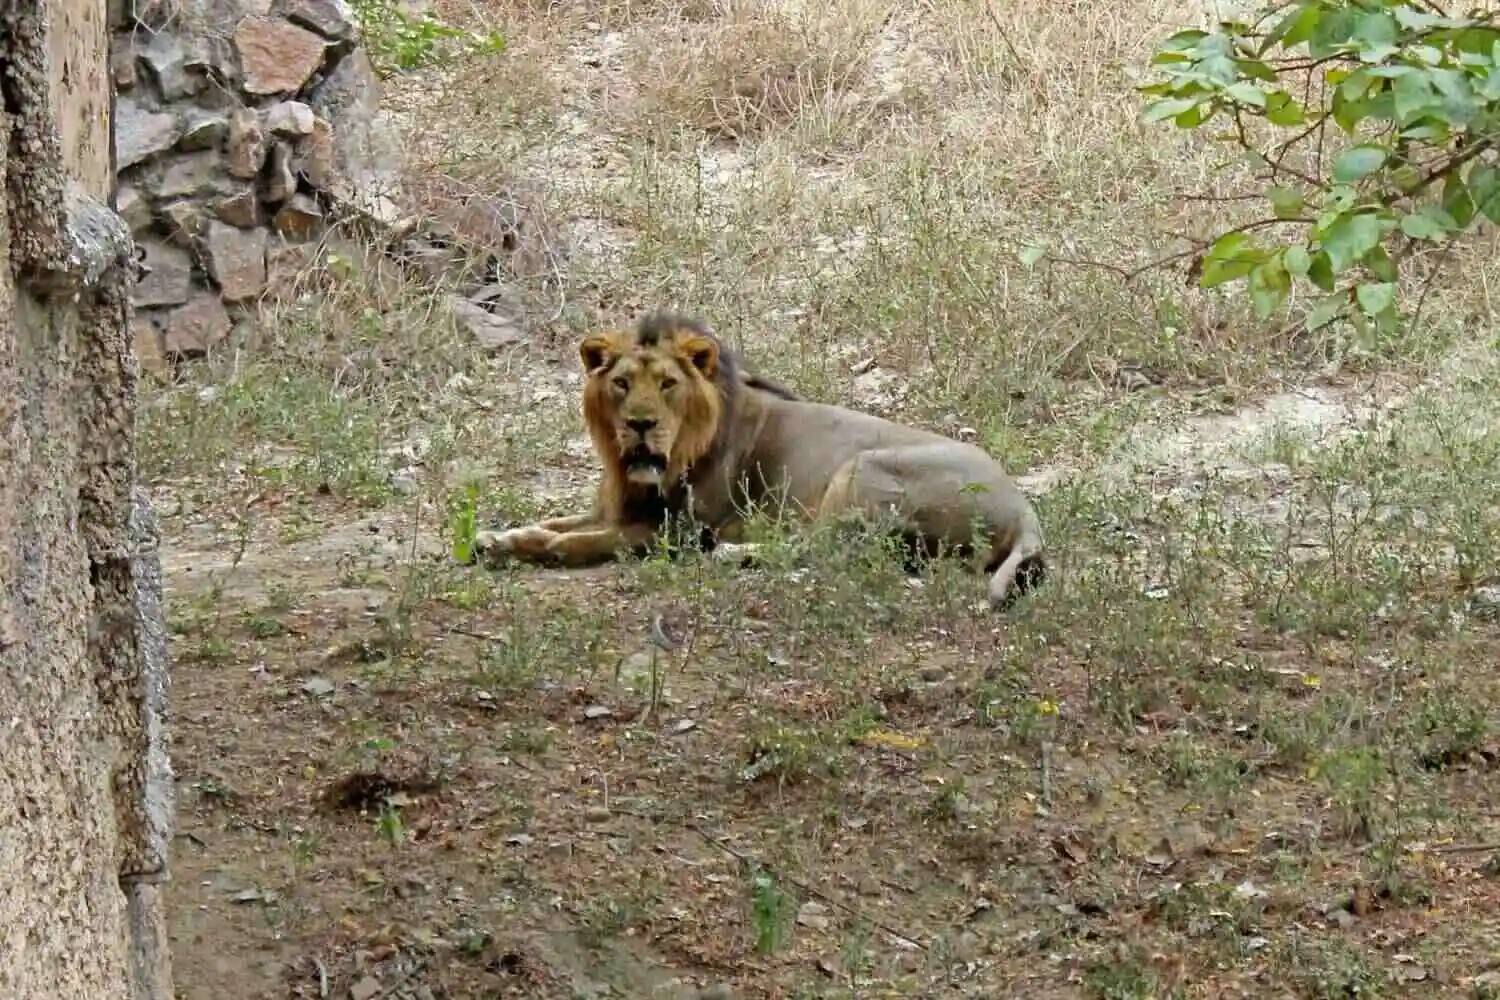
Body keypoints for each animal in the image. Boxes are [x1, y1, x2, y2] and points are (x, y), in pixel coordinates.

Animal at [474, 313, 1050, 611]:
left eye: (668, 383)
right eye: (621, 383)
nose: (640, 423)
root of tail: (1025, 509)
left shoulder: (678, 530)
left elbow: (585, 541)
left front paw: (546, 549)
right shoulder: (616, 508)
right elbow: (554, 522)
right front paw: (498, 539)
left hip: (863, 469)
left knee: (828, 549)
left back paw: (732, 554)